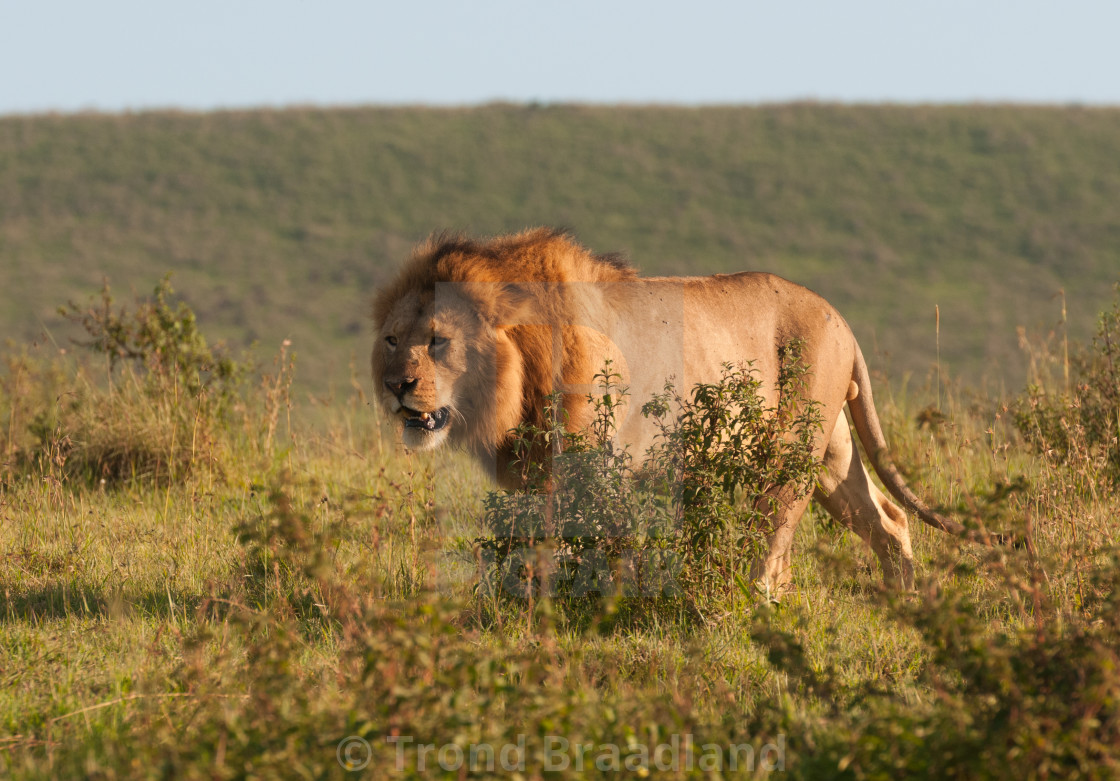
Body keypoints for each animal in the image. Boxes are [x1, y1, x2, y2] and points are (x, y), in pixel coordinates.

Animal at [371, 225, 985, 591]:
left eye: (438, 341)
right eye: (392, 340)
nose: (396, 384)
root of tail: (840, 319)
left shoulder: (593, 463)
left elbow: (593, 544)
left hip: (792, 449)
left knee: (775, 530)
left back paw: (757, 599)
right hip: (832, 451)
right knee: (889, 518)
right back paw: (906, 598)